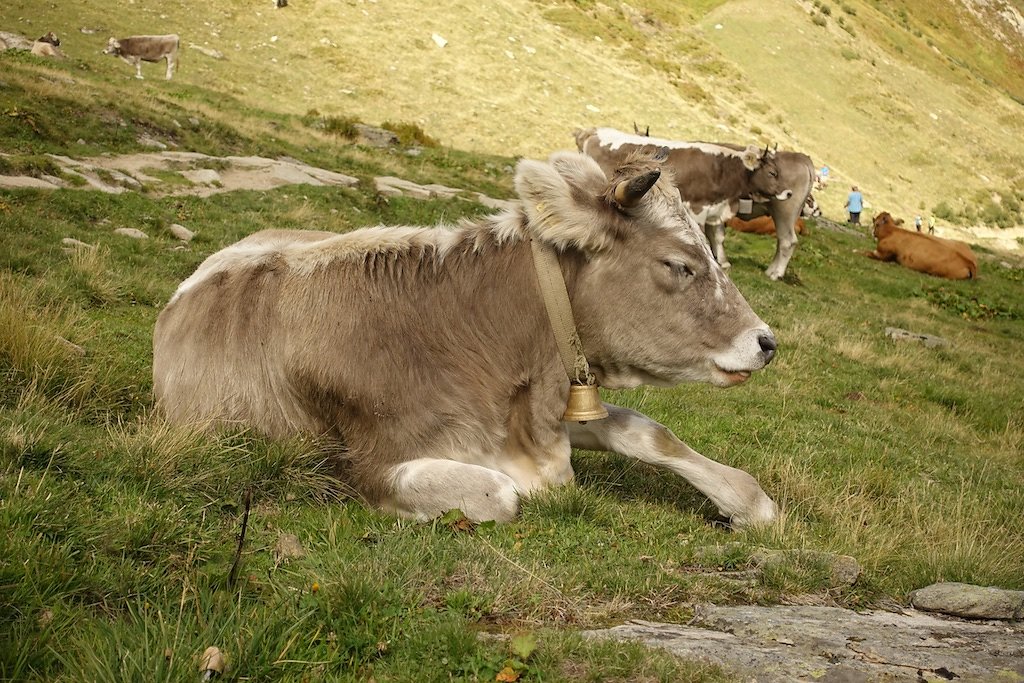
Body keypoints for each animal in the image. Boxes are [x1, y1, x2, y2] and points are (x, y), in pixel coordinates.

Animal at [151, 152, 774, 528]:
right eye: (679, 264)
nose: (766, 341)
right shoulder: (370, 465)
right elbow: (501, 494)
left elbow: (649, 431)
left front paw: (748, 500)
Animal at [577, 126, 815, 278]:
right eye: (773, 173)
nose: (787, 193)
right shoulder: (701, 208)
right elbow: (708, 238)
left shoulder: (714, 209)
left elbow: (715, 237)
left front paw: (722, 263)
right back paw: (774, 273)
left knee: (787, 241)